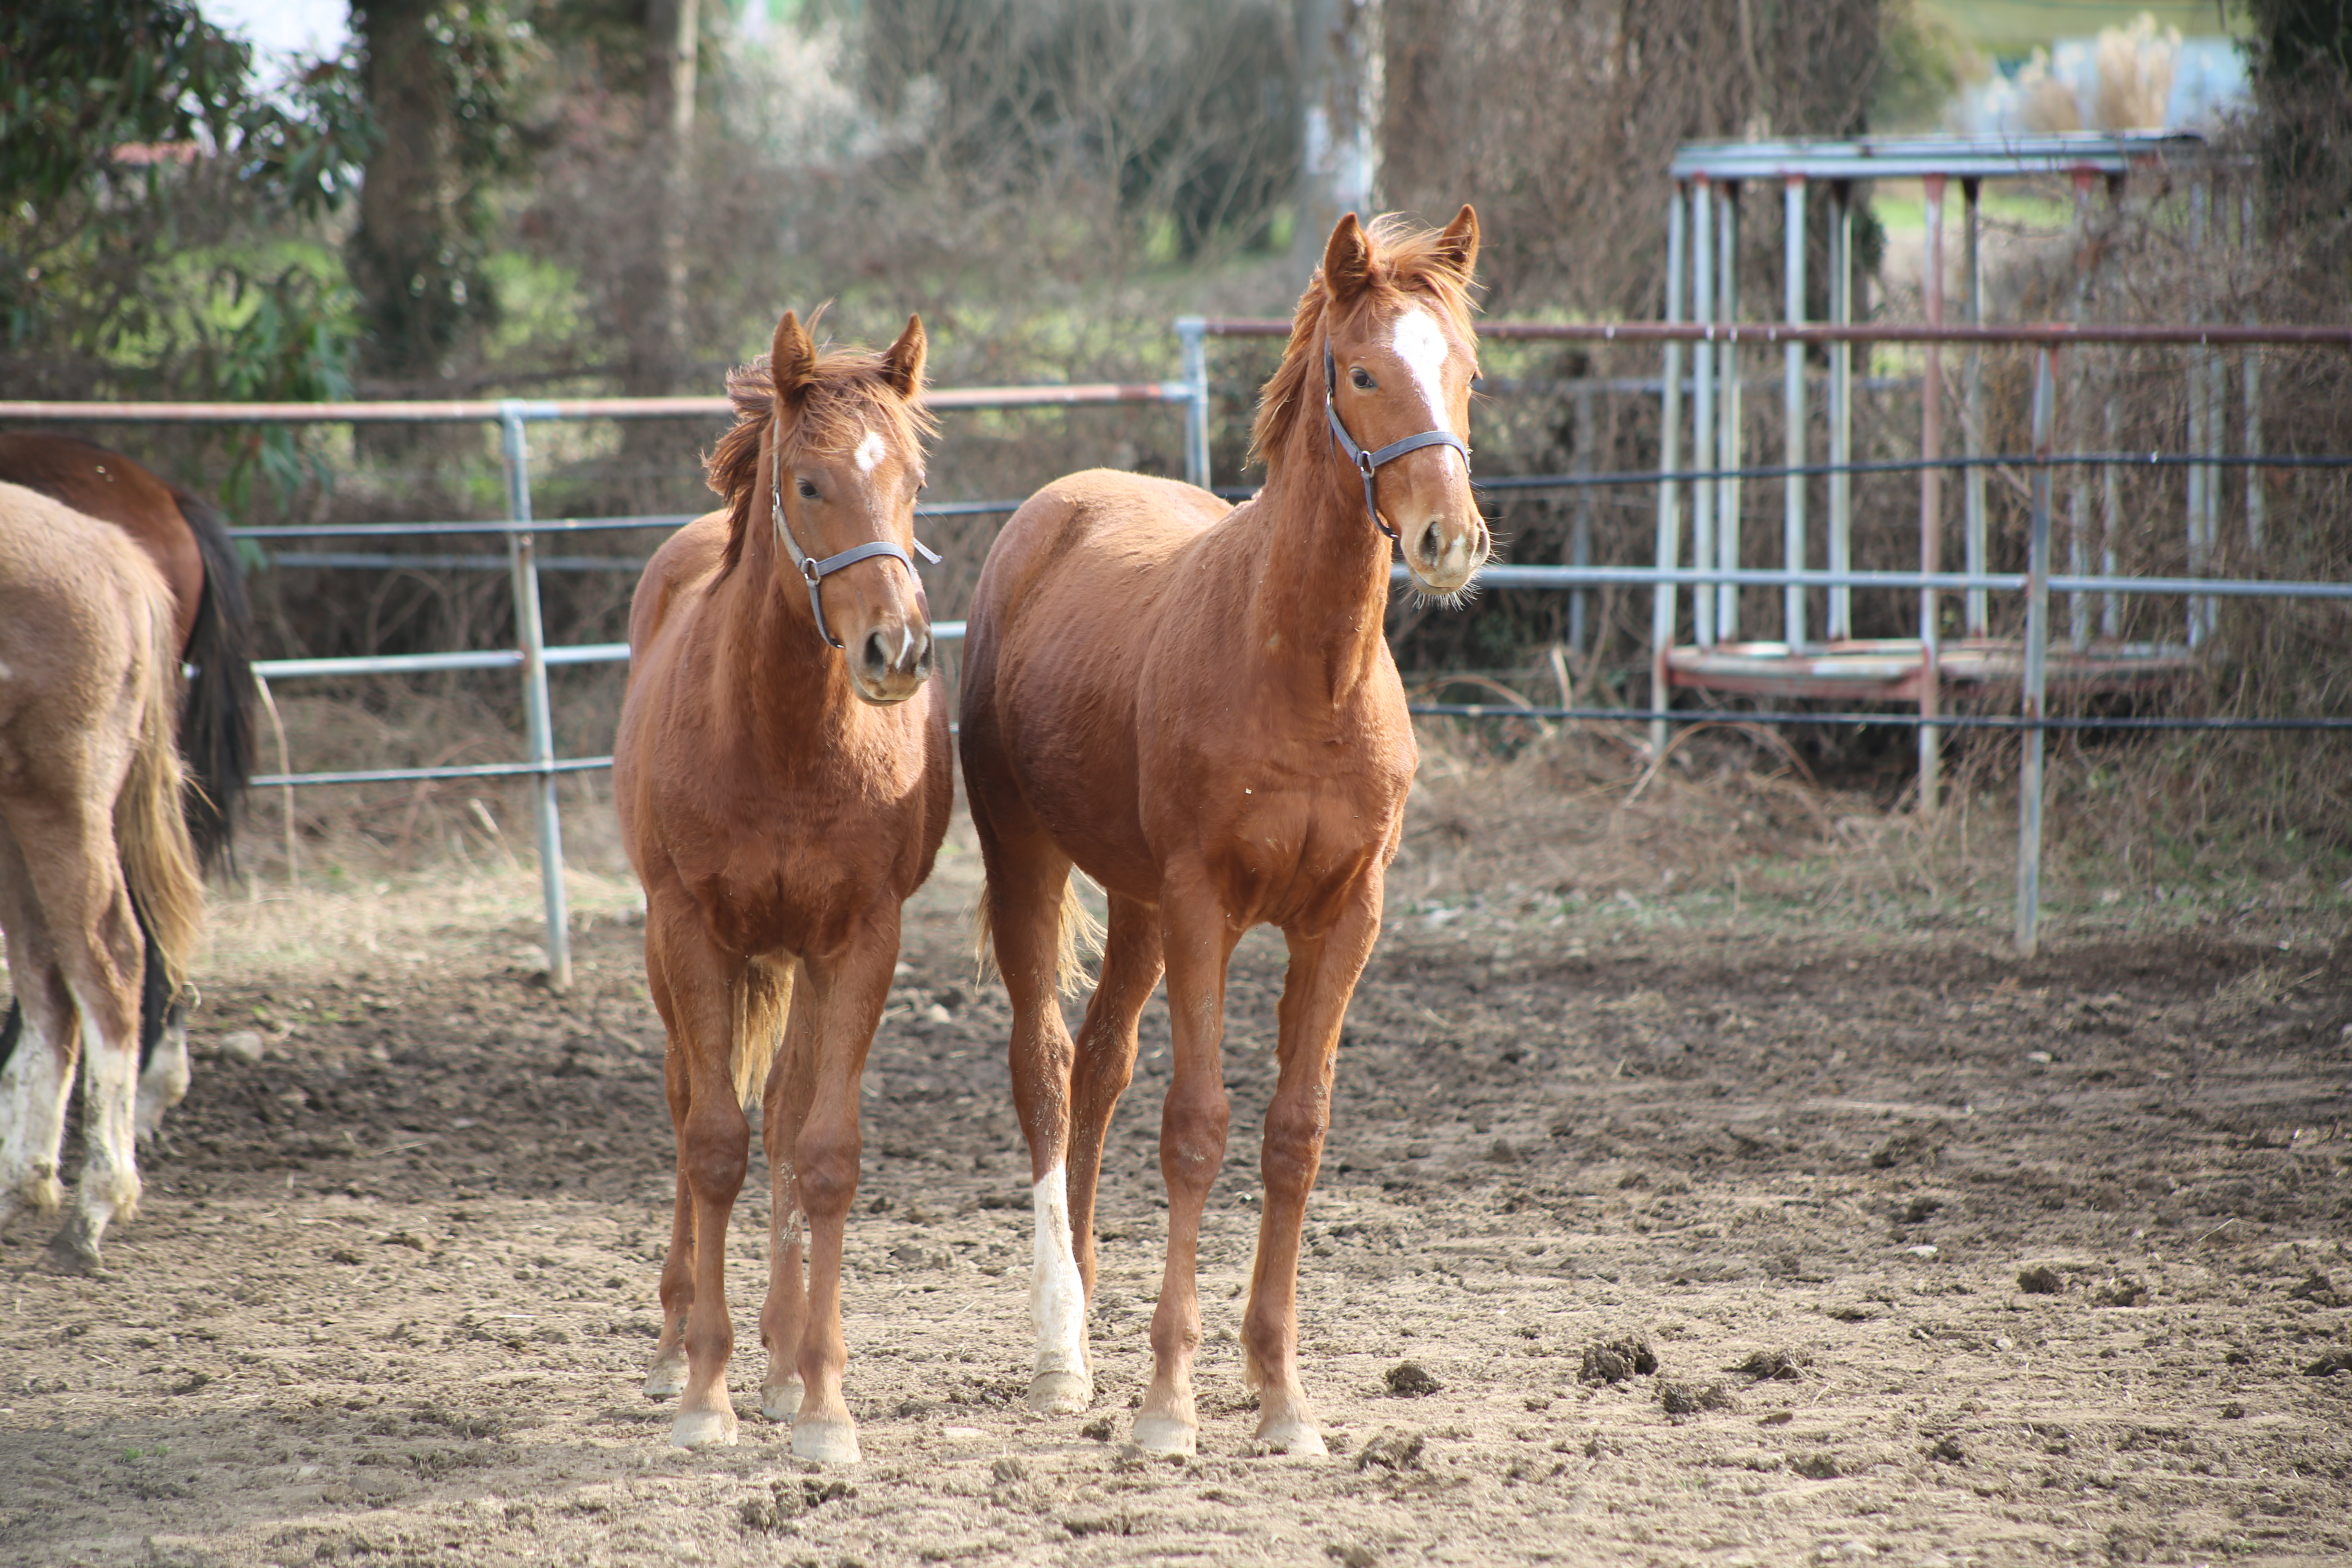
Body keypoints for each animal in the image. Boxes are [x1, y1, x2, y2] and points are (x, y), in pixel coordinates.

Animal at [611, 312, 950, 1467]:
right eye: (808, 483)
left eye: (911, 482)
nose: (897, 648)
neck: (785, 741)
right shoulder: (692, 933)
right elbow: (714, 1144)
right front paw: (702, 1394)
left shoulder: (860, 940)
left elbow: (821, 1152)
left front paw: (821, 1402)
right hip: (672, 954)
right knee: (686, 1104)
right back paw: (679, 1343)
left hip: (799, 960)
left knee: (791, 1114)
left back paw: (781, 1355)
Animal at [960, 208, 1486, 1457]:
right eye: (1362, 372)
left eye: (1466, 372)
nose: (1448, 538)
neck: (1305, 674)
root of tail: (1054, 507)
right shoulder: (1207, 904)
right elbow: (1196, 1128)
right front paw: (1168, 1403)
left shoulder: (1343, 916)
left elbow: (1294, 1134)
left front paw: (1282, 1399)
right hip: (1032, 861)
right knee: (1045, 1066)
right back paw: (1060, 1353)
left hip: (1137, 900)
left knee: (1100, 1064)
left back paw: (1087, 1306)